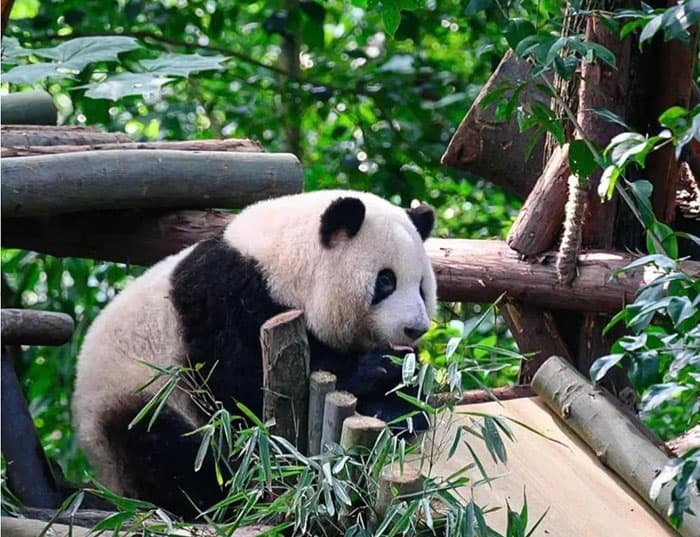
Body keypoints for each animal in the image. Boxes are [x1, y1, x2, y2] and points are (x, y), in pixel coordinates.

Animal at [72, 190, 436, 517]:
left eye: (421, 286)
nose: (415, 328)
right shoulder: (222, 300)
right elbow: (241, 390)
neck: (278, 264)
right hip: (133, 399)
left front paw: (399, 404)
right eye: (386, 281)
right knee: (166, 450)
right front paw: (373, 370)